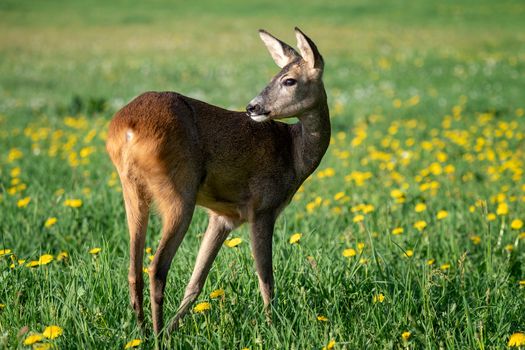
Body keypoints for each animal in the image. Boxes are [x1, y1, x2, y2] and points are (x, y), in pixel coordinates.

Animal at [105, 26, 330, 334]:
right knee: (157, 267)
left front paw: (177, 326)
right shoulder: (263, 207)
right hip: (179, 192)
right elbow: (266, 279)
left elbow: (196, 282)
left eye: (288, 79)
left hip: (132, 189)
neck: (294, 154)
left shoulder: (223, 216)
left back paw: (143, 331)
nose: (252, 107)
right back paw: (157, 333)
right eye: (279, 77)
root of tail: (127, 129)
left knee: (133, 267)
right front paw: (272, 326)